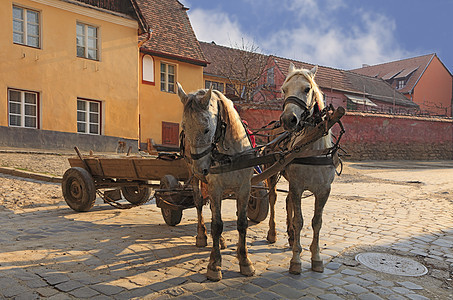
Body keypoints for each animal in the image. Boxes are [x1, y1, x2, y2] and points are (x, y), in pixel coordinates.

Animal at [176, 82, 254, 282]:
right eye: (184, 128)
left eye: (206, 129)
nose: (200, 169)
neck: (231, 154)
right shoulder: (215, 188)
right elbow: (217, 225)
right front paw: (214, 264)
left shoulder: (244, 188)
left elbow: (242, 223)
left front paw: (245, 261)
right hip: (197, 181)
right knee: (199, 205)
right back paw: (202, 236)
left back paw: (221, 241)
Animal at [264, 62, 336, 274]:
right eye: (283, 89)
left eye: (307, 89)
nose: (288, 120)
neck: (312, 148)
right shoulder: (297, 186)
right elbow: (300, 220)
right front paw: (296, 259)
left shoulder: (323, 191)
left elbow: (316, 222)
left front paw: (316, 257)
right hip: (272, 173)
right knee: (273, 198)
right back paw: (273, 233)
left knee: (288, 201)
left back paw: (289, 235)